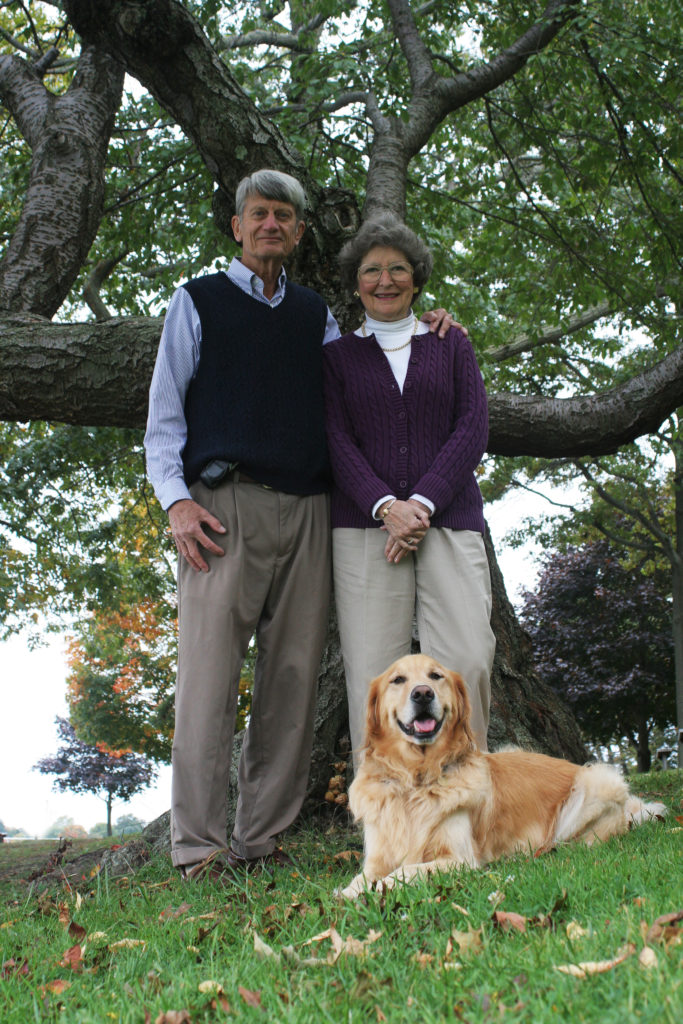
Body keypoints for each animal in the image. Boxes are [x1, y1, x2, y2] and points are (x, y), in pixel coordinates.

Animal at [342, 655, 667, 897]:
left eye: (436, 676)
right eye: (397, 680)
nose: (423, 693)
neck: (416, 779)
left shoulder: (459, 859)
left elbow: (405, 871)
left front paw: (381, 886)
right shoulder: (376, 856)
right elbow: (359, 879)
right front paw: (347, 894)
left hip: (598, 782)